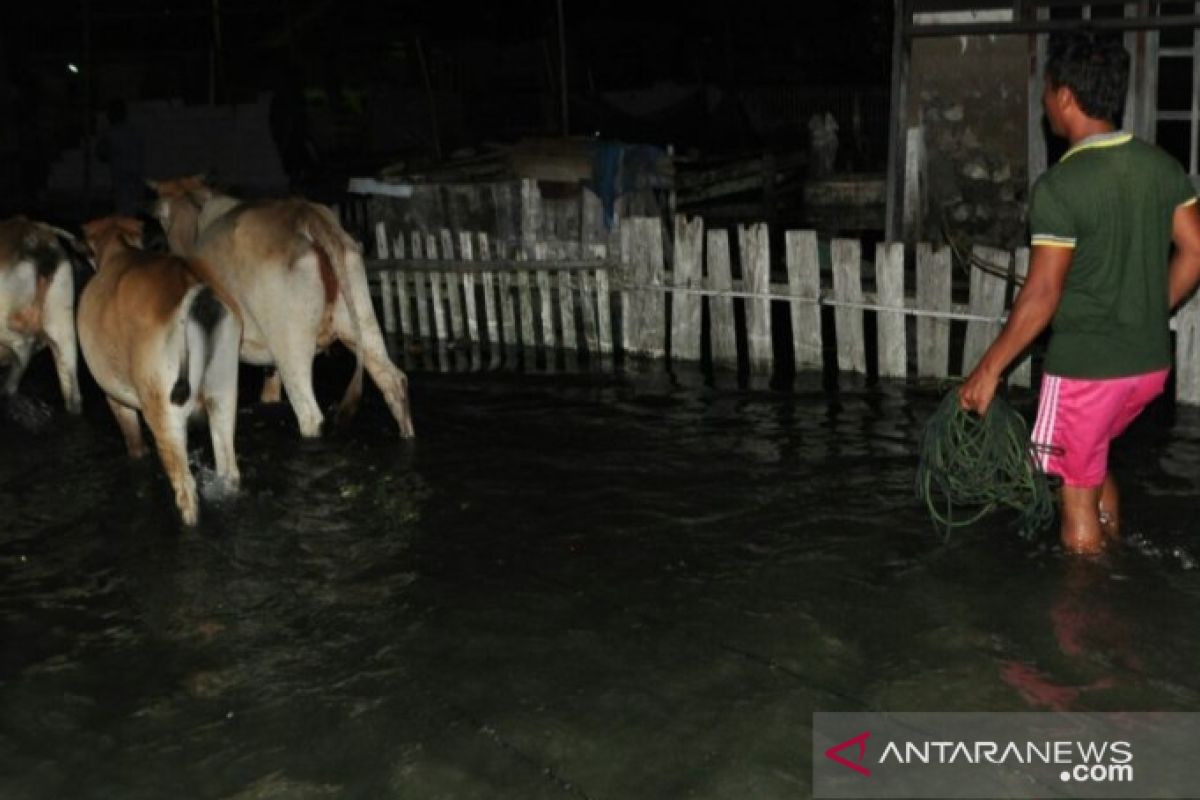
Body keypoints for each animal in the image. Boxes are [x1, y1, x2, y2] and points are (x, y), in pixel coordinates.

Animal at [78, 219, 243, 527]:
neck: (119, 249)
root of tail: (190, 280)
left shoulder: (115, 398)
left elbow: (135, 446)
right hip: (223, 393)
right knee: (230, 471)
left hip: (164, 411)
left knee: (186, 489)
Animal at [149, 176, 415, 438]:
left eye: (161, 217)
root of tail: (306, 216)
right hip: (360, 316)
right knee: (393, 379)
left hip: (290, 343)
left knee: (309, 414)